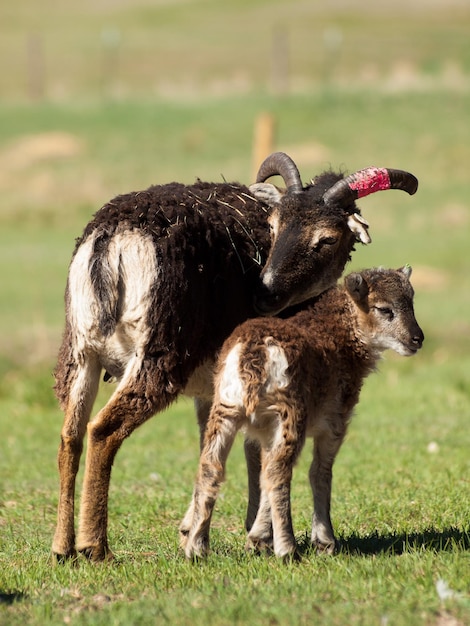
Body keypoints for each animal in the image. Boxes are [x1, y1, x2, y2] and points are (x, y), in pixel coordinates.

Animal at [182, 266, 424, 560]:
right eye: (384, 309)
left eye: (412, 303)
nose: (417, 338)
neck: (342, 334)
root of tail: (254, 354)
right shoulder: (335, 421)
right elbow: (319, 472)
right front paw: (324, 542)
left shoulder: (265, 431)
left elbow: (262, 473)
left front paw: (258, 539)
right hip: (291, 413)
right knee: (279, 472)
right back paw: (288, 550)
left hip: (226, 408)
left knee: (211, 467)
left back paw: (196, 549)